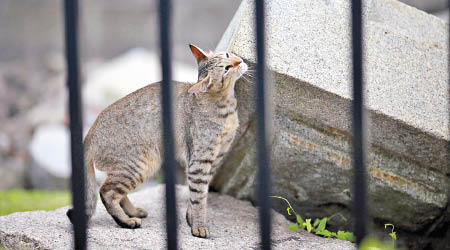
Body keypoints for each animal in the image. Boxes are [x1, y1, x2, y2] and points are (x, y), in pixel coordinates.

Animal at [67, 44, 248, 238]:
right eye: (226, 68)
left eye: (229, 55)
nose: (239, 61)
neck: (226, 107)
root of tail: (89, 134)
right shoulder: (199, 161)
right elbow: (199, 197)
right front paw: (199, 226)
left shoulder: (214, 160)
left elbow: (198, 194)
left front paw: (190, 217)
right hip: (137, 165)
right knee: (106, 192)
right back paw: (126, 221)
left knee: (117, 193)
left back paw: (132, 212)